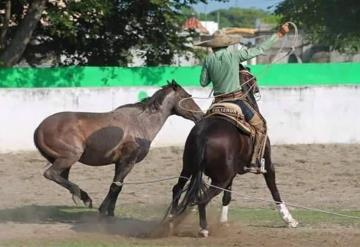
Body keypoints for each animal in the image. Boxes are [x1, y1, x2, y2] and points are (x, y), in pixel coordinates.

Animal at [34, 81, 204, 216]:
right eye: (186, 97)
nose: (200, 116)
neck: (140, 123)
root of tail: (38, 129)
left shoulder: (120, 163)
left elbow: (118, 186)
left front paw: (110, 212)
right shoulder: (127, 162)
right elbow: (115, 186)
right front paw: (104, 210)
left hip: (65, 160)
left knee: (61, 176)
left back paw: (81, 196)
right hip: (70, 156)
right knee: (52, 174)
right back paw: (84, 197)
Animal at [169, 68, 298, 237]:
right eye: (251, 77)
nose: (257, 88)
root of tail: (204, 134)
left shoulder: (232, 173)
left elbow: (227, 196)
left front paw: (223, 222)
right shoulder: (268, 163)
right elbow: (274, 190)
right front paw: (289, 219)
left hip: (189, 168)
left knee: (177, 189)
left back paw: (170, 221)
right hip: (220, 178)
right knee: (202, 200)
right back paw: (203, 228)